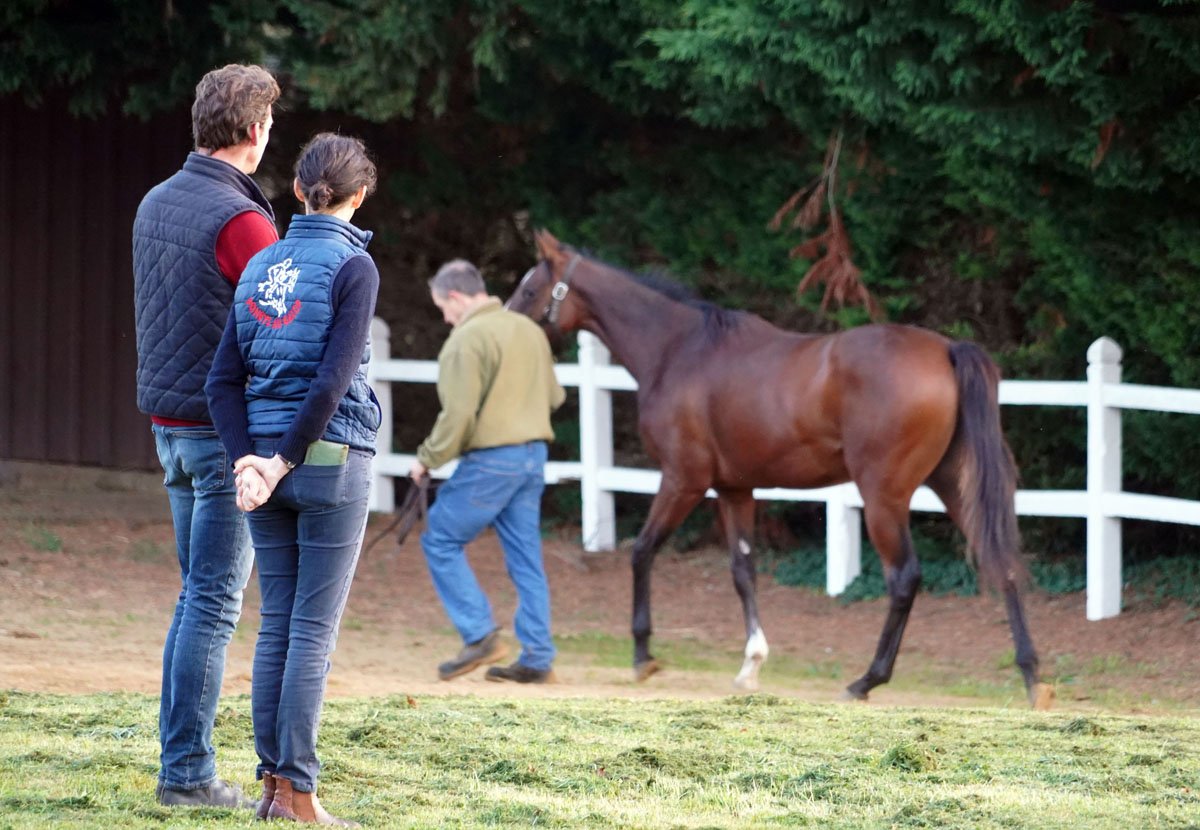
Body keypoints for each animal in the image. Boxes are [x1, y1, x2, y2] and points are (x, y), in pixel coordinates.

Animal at [507, 229, 1054, 709]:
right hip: (952, 486)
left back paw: (866, 681)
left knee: (904, 578)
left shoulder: (684, 480)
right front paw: (751, 664)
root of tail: (946, 349)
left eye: (530, 289)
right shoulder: (734, 489)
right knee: (1003, 563)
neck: (679, 350)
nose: (504, 321)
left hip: (884, 497)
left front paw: (643, 655)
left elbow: (642, 552)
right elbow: (742, 571)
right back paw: (1033, 678)